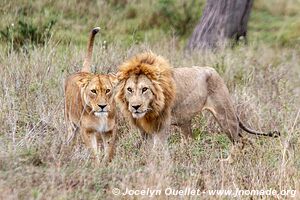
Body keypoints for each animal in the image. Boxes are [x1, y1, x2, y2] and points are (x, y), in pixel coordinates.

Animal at [64, 27, 117, 163]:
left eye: (107, 90)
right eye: (93, 91)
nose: (102, 106)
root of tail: (82, 72)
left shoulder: (109, 130)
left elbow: (109, 151)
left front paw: (106, 164)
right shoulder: (87, 131)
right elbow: (93, 153)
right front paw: (97, 166)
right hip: (70, 123)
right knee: (71, 137)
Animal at [115, 51, 278, 152]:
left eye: (145, 89)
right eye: (129, 90)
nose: (135, 107)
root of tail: (214, 71)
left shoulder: (162, 126)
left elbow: (157, 150)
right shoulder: (144, 130)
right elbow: (146, 149)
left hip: (226, 117)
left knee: (241, 141)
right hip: (185, 123)